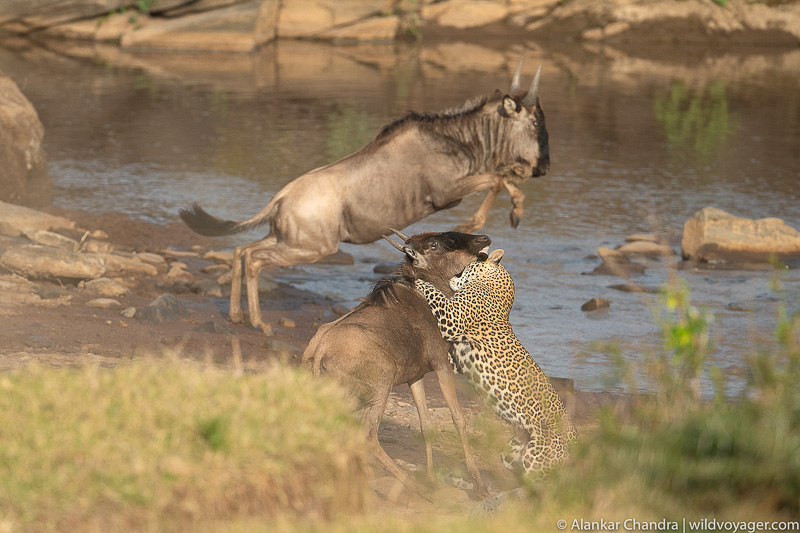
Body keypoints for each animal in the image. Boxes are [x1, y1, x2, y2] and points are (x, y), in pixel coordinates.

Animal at [415, 249, 577, 477]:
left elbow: (435, 293)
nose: (453, 275)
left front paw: (418, 279)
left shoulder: (452, 317)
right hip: (513, 452)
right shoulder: (458, 359)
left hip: (538, 461)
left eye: (467, 265)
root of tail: (576, 440)